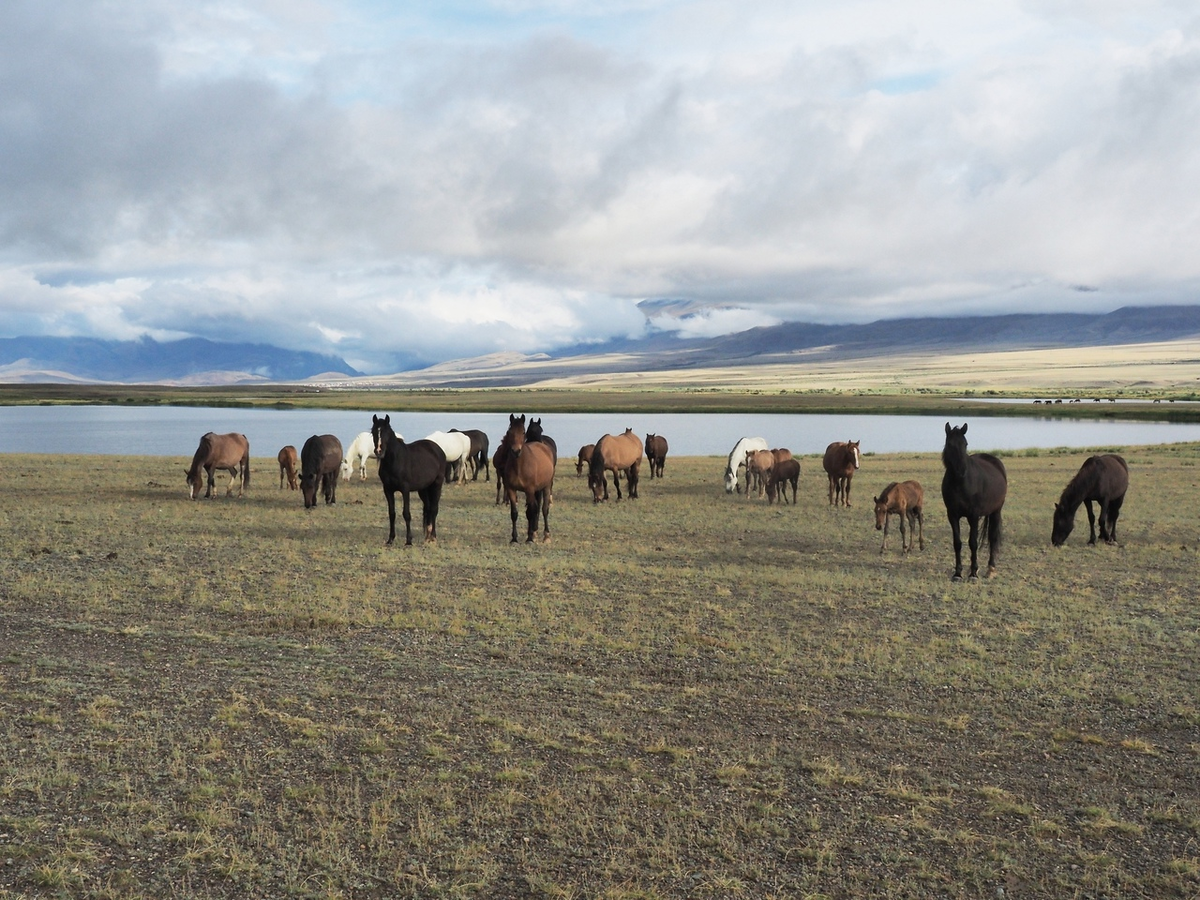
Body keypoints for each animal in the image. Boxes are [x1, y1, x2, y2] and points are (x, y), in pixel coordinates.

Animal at [369, 415, 446, 549]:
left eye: (386, 433)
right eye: (373, 432)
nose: (379, 451)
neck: (395, 461)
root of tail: (438, 449)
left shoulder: (405, 490)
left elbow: (406, 514)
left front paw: (409, 541)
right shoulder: (388, 490)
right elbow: (392, 514)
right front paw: (390, 539)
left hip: (436, 485)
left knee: (434, 509)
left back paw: (433, 537)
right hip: (423, 490)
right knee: (428, 509)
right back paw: (427, 537)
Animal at [940, 422, 1008, 580]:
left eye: (965, 444)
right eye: (950, 444)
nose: (961, 471)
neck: (960, 484)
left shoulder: (973, 516)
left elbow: (973, 543)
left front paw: (973, 573)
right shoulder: (952, 515)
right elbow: (957, 543)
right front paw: (958, 573)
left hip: (996, 511)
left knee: (993, 538)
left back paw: (991, 569)